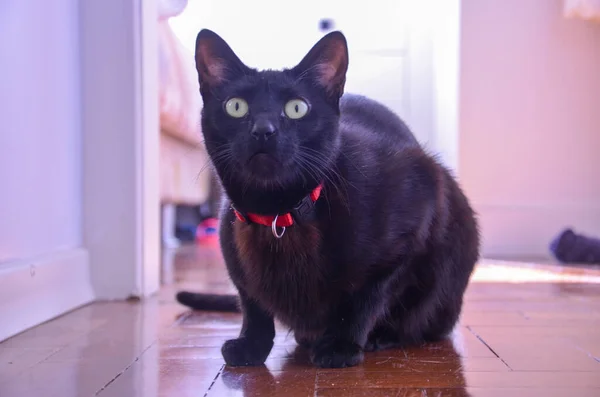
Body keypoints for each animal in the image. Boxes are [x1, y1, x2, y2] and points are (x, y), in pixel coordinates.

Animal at [177, 28, 478, 368]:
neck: (280, 214)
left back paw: (380, 336)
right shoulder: (234, 254)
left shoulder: (416, 215)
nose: (264, 130)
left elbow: (367, 297)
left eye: (297, 108)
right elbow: (253, 304)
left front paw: (341, 346)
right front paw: (251, 345)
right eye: (236, 106)